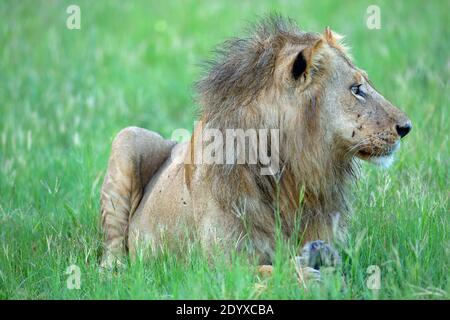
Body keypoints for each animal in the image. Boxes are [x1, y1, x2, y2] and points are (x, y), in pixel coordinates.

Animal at [99, 16, 412, 278]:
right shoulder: (218, 267)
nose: (406, 127)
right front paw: (307, 275)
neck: (294, 174)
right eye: (356, 90)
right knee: (112, 248)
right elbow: (270, 271)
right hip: (128, 137)